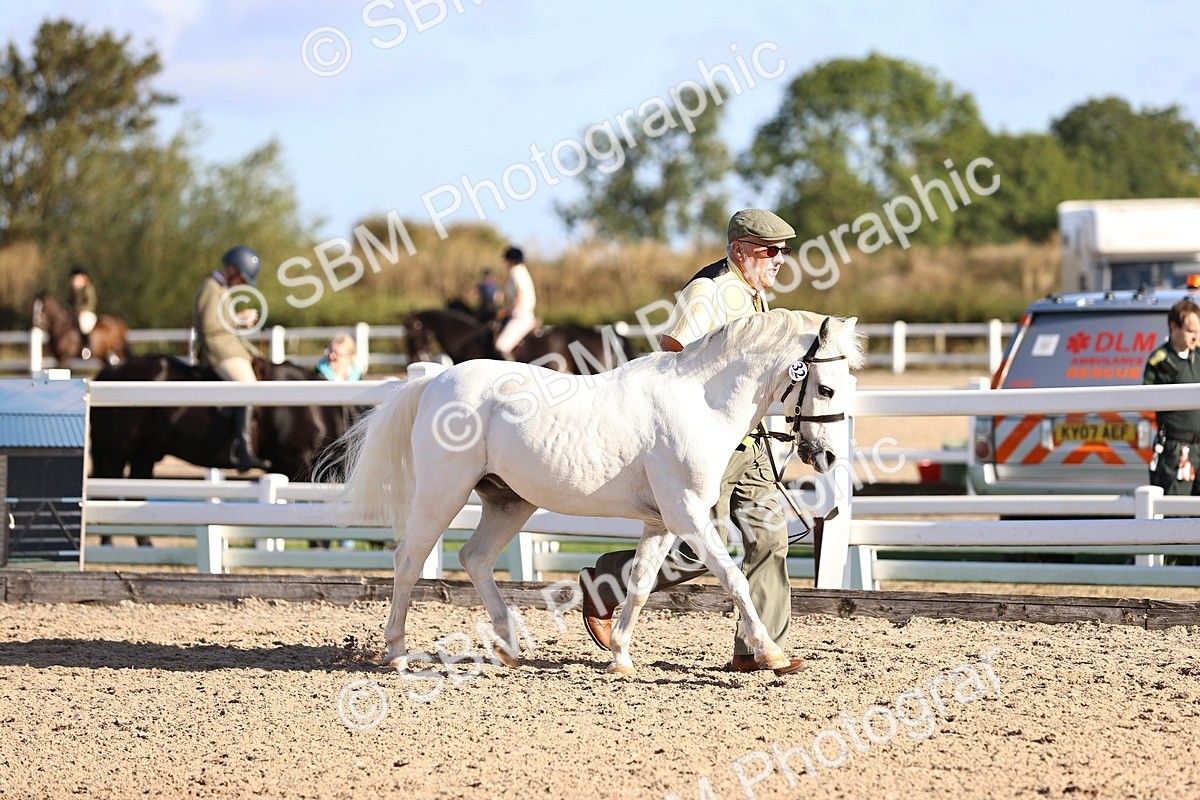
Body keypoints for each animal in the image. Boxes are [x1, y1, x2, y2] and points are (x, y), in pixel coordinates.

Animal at [90, 355, 359, 546]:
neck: (317, 409)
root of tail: (109, 372)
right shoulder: (296, 463)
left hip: (144, 453)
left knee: (134, 494)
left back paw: (145, 544)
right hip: (115, 452)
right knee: (107, 494)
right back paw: (108, 543)